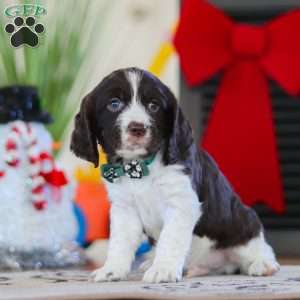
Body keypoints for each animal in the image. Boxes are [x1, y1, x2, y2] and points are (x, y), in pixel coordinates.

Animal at [70, 67, 278, 282]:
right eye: (114, 104)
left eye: (154, 106)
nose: (138, 128)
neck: (141, 167)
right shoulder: (124, 207)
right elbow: (120, 242)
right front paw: (112, 269)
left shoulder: (181, 202)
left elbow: (170, 238)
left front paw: (163, 269)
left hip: (242, 221)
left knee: (256, 246)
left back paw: (263, 264)